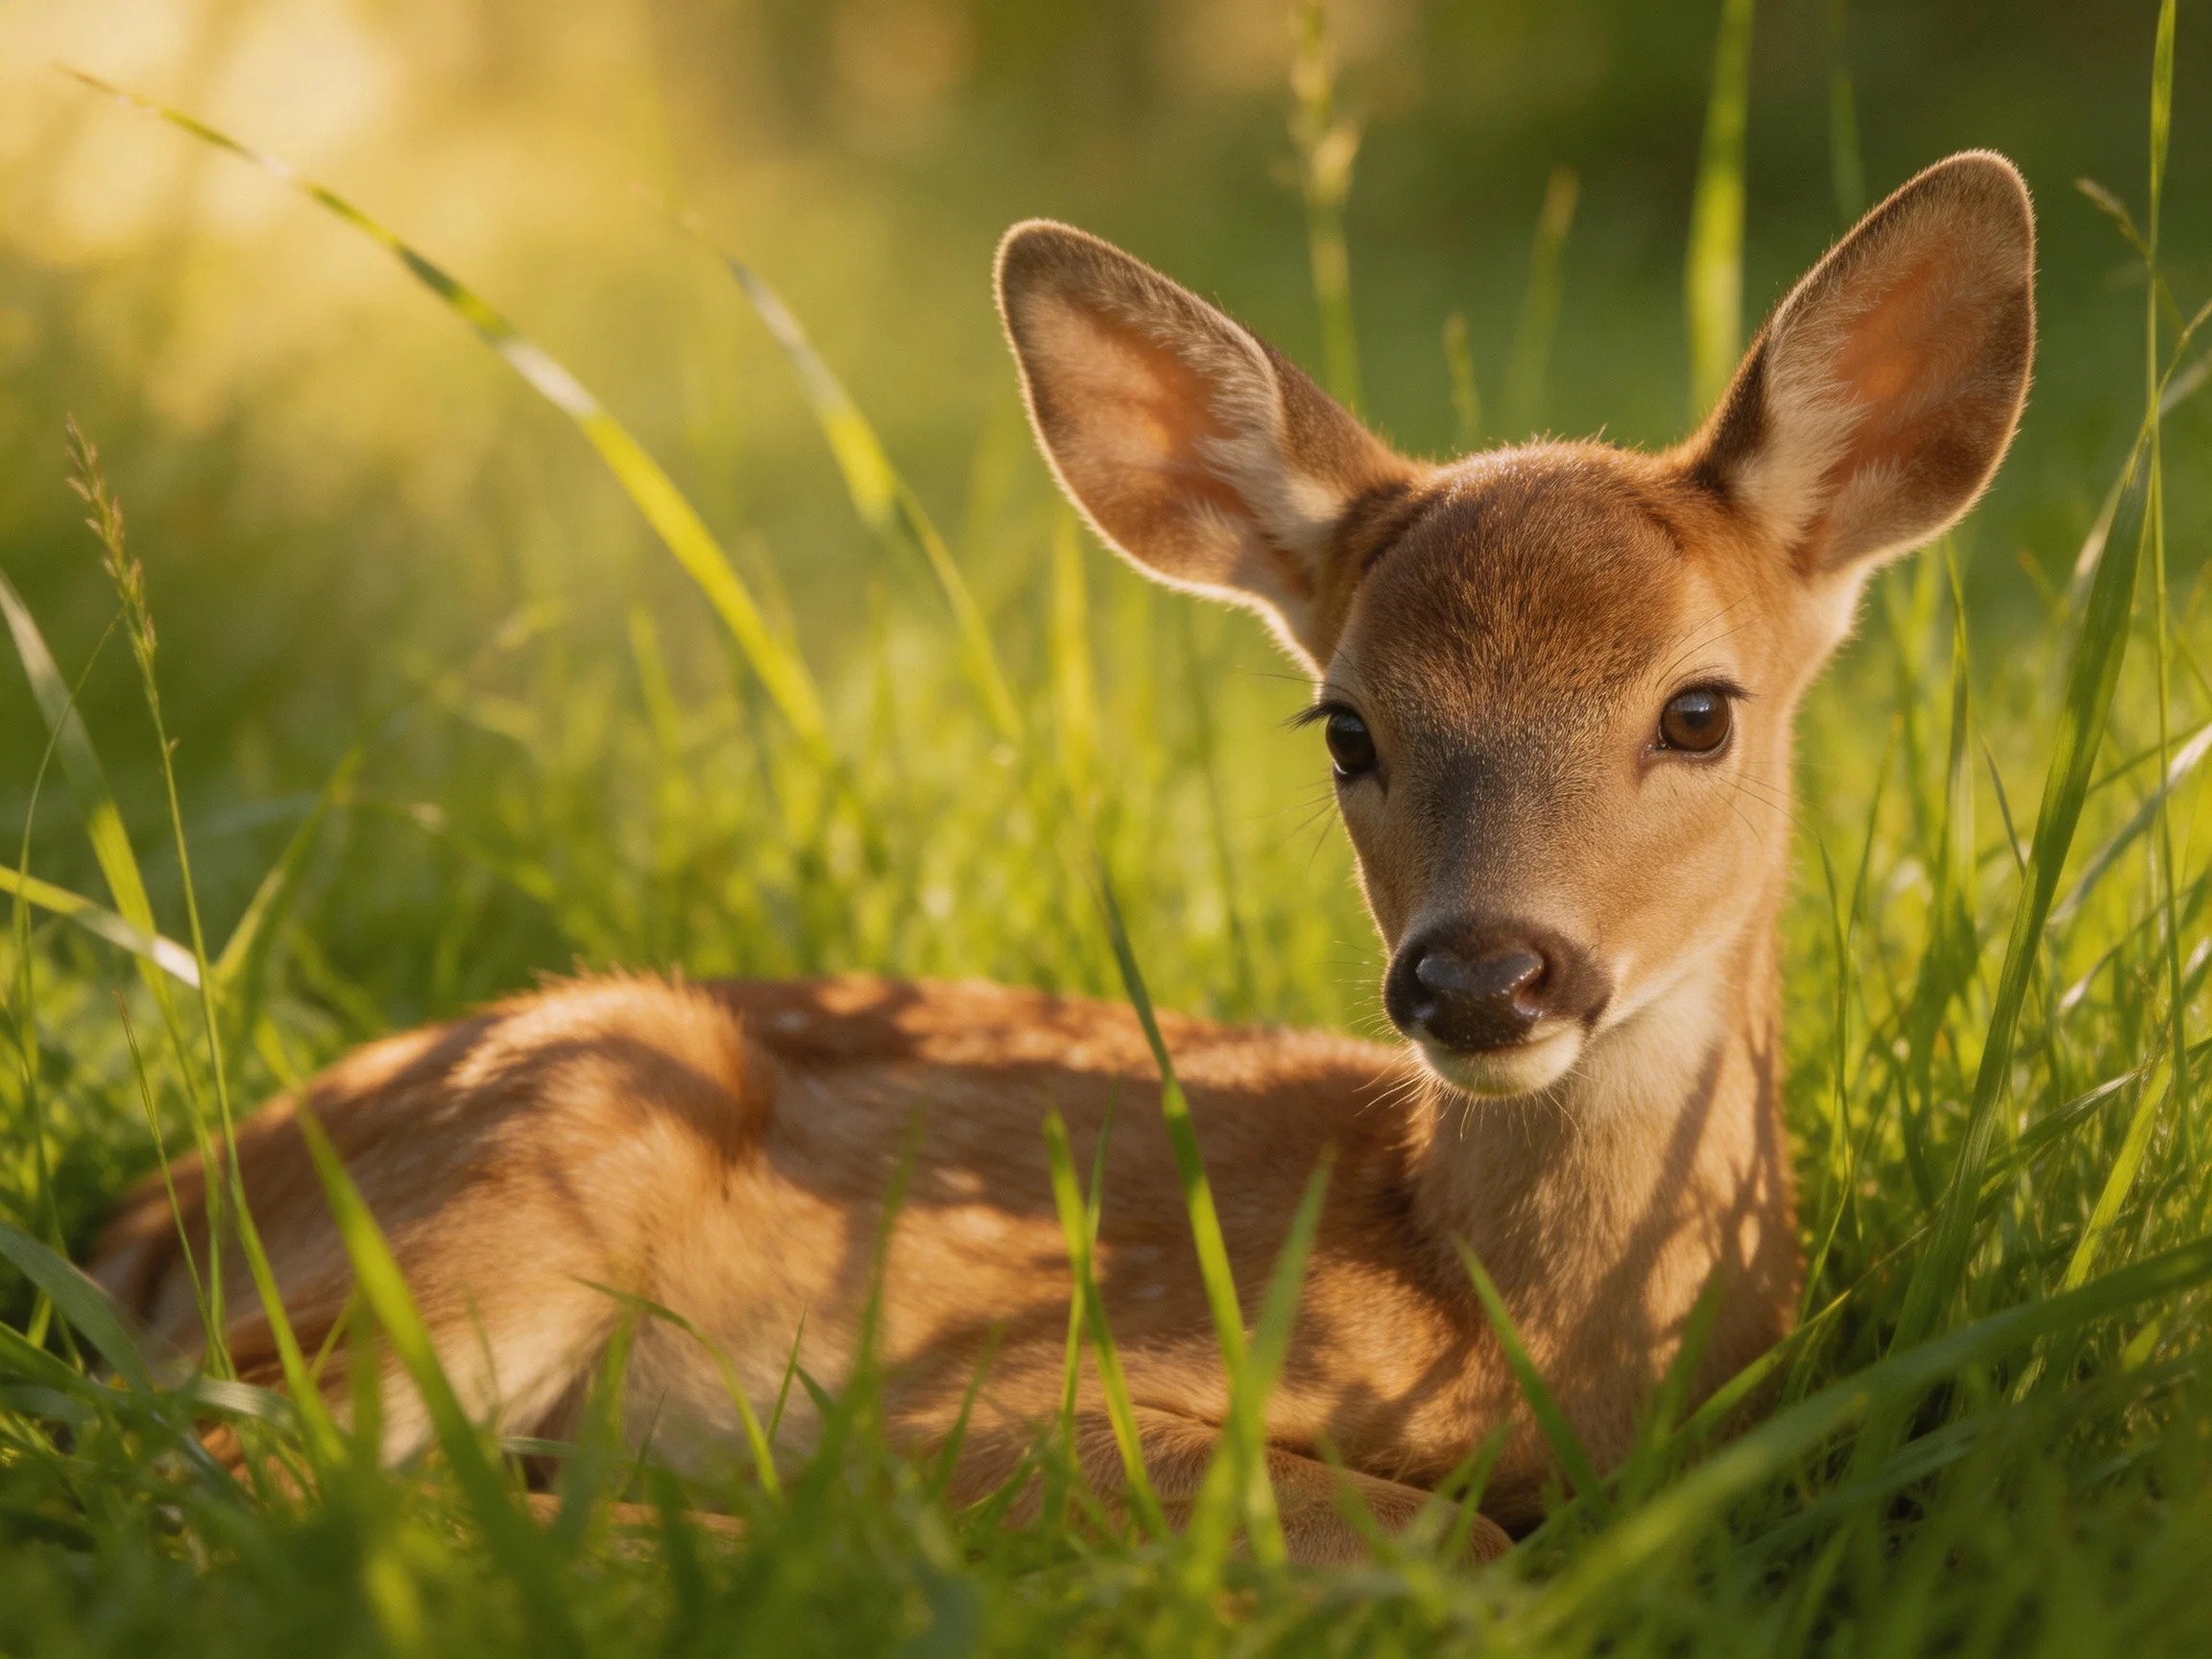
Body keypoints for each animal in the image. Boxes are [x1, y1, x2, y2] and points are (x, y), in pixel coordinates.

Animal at [92, 152, 2034, 1565]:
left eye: (1698, 710)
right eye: (1345, 726)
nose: (1482, 973)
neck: (1531, 1335)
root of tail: (145, 1214)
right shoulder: (984, 1393)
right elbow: (1436, 1539)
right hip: (545, 1144)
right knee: (248, 1471)